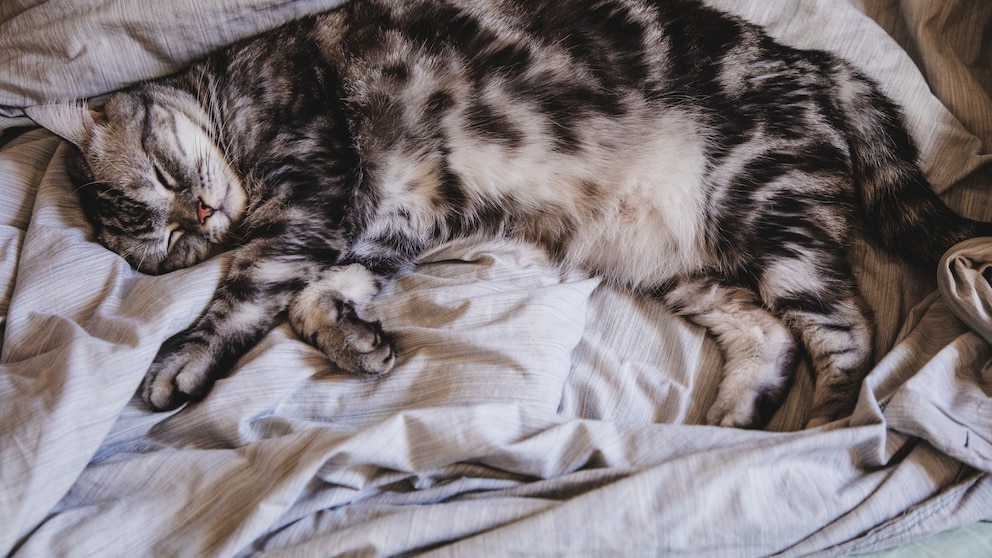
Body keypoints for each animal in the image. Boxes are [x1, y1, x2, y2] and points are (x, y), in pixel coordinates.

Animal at [23, 0, 992, 430]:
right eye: (166, 242)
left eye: (163, 175)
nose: (200, 212)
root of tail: (817, 63)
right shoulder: (389, 215)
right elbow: (316, 294)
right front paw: (357, 340)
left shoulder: (317, 195)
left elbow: (256, 292)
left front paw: (183, 361)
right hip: (678, 258)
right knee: (770, 331)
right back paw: (741, 413)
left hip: (763, 207)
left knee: (846, 332)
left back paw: (821, 428)